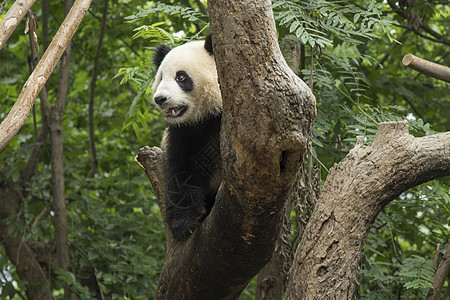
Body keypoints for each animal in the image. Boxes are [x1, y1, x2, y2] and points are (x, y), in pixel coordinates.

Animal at [152, 35, 222, 241]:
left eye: (181, 77)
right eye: (161, 77)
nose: (160, 99)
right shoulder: (184, 132)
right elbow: (184, 171)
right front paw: (183, 224)